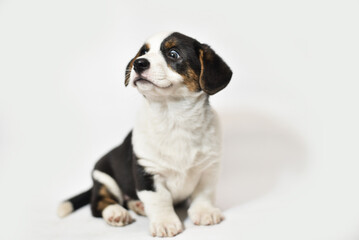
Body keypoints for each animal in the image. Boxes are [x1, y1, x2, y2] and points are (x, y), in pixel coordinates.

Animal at [58, 31, 233, 236]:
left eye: (173, 54)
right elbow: (160, 200)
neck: (174, 117)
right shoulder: (147, 172)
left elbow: (204, 194)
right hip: (104, 178)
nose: (138, 63)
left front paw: (205, 212)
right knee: (99, 204)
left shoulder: (208, 170)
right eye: (143, 52)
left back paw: (137, 206)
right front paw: (165, 223)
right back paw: (116, 213)